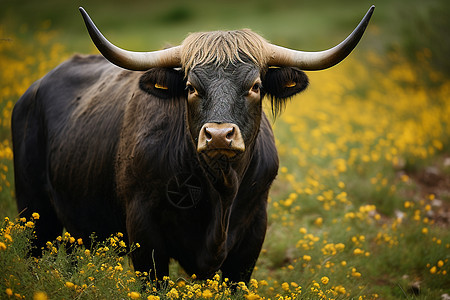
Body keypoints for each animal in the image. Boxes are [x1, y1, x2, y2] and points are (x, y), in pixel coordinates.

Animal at [12, 6, 374, 284]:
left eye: (255, 85)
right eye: (190, 87)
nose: (219, 135)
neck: (220, 193)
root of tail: (33, 90)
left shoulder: (251, 237)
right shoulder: (145, 236)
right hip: (35, 215)